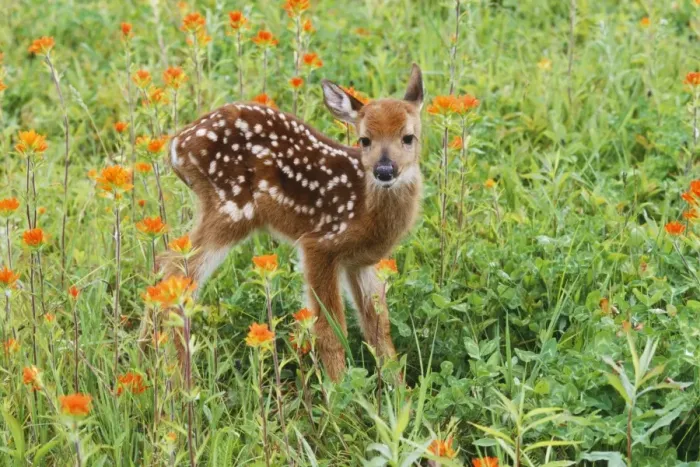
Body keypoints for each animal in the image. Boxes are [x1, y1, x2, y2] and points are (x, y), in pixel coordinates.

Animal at [160, 64, 424, 382]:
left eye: (408, 137)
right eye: (364, 139)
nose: (384, 170)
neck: (363, 206)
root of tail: (176, 146)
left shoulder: (360, 262)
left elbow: (378, 329)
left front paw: (399, 391)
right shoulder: (320, 244)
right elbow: (330, 330)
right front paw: (340, 391)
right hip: (230, 207)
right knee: (176, 271)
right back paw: (179, 380)